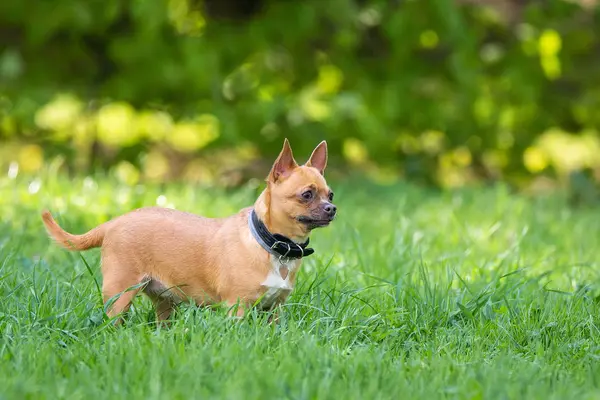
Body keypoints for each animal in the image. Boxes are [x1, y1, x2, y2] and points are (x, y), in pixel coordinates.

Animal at [42, 139, 338, 324]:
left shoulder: (274, 310)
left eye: (330, 194)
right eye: (307, 195)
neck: (274, 245)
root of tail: (114, 222)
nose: (332, 208)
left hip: (164, 300)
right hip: (120, 294)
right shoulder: (237, 308)